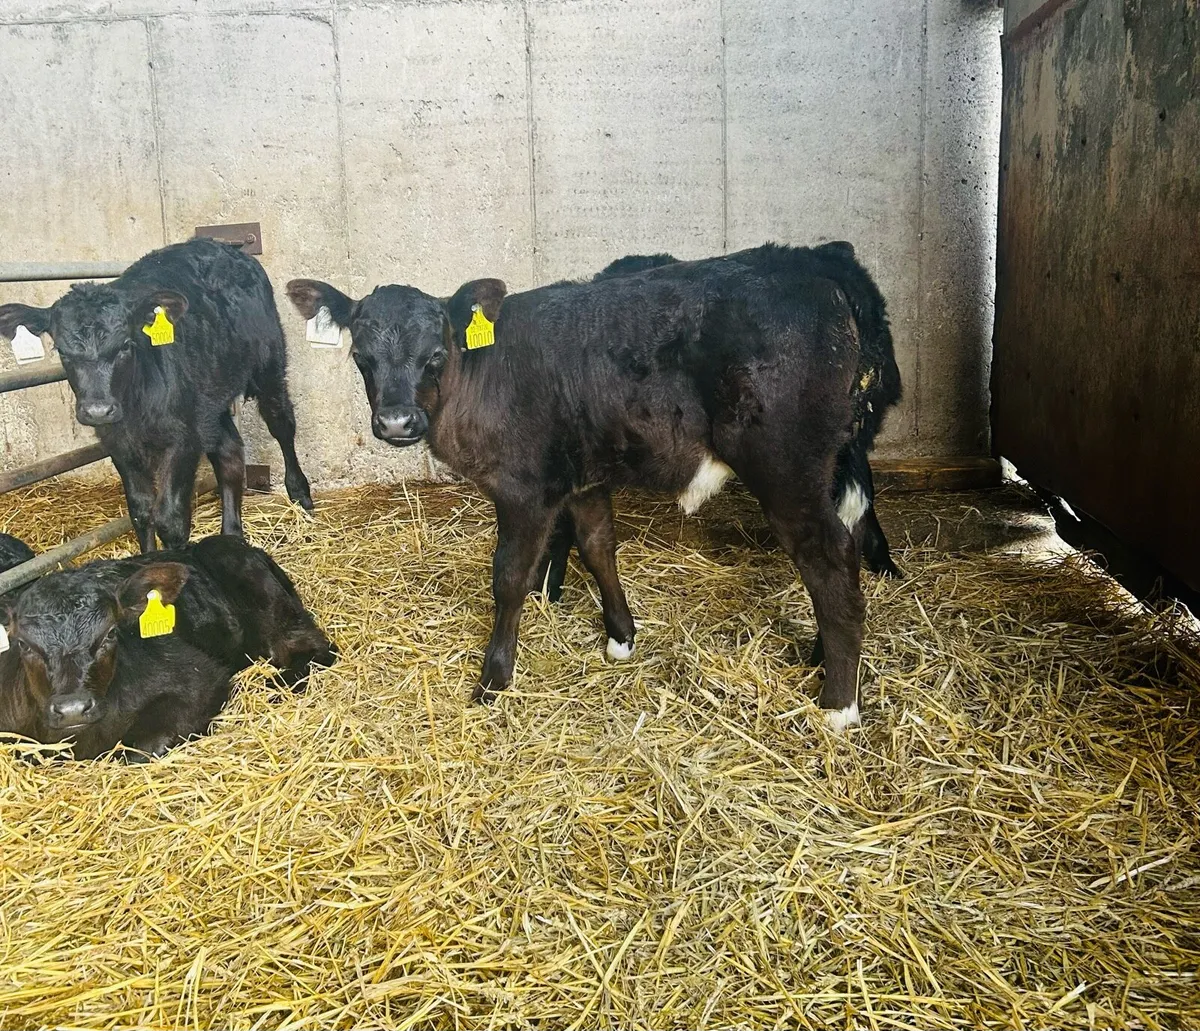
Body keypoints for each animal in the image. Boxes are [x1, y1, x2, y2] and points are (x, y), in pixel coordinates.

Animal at [0, 238, 314, 554]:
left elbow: (170, 519)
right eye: (62, 352)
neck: (136, 409)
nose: (99, 410)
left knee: (281, 423)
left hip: (269, 367)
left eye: (125, 345)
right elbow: (141, 511)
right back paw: (232, 534)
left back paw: (301, 496)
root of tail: (224, 246)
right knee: (230, 453)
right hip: (208, 401)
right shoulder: (119, 443)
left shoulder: (183, 439)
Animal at [0, 535, 335, 760]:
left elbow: (141, 748)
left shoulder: (202, 679)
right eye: (23, 644)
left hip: (271, 605)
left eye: (110, 633)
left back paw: (278, 684)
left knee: (315, 647)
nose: (72, 709)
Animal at [287, 242, 885, 728]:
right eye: (361, 357)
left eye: (434, 354)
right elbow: (599, 546)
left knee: (829, 559)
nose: (396, 423)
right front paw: (621, 637)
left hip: (786, 468)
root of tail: (821, 273)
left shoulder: (525, 491)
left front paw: (494, 679)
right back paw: (823, 658)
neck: (478, 374)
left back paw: (839, 704)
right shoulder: (582, 477)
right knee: (849, 540)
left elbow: (510, 578)